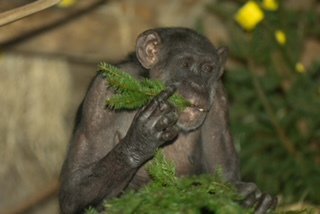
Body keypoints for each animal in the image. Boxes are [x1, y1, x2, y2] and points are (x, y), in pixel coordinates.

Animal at [60, 27, 278, 213]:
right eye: (186, 64)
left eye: (208, 68)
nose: (198, 85)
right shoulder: (100, 95)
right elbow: (73, 189)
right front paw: (142, 139)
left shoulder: (220, 100)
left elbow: (224, 175)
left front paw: (251, 199)